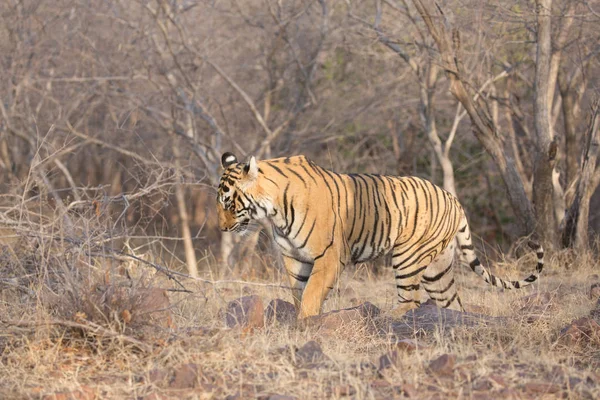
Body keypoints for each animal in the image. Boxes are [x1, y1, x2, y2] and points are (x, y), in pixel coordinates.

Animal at [217, 153, 544, 318]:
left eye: (228, 202)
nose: (221, 228)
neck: (275, 211)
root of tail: (454, 199)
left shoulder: (329, 256)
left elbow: (311, 293)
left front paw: (306, 323)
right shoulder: (294, 257)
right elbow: (299, 292)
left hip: (408, 256)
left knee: (411, 299)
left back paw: (385, 318)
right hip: (437, 269)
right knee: (451, 302)